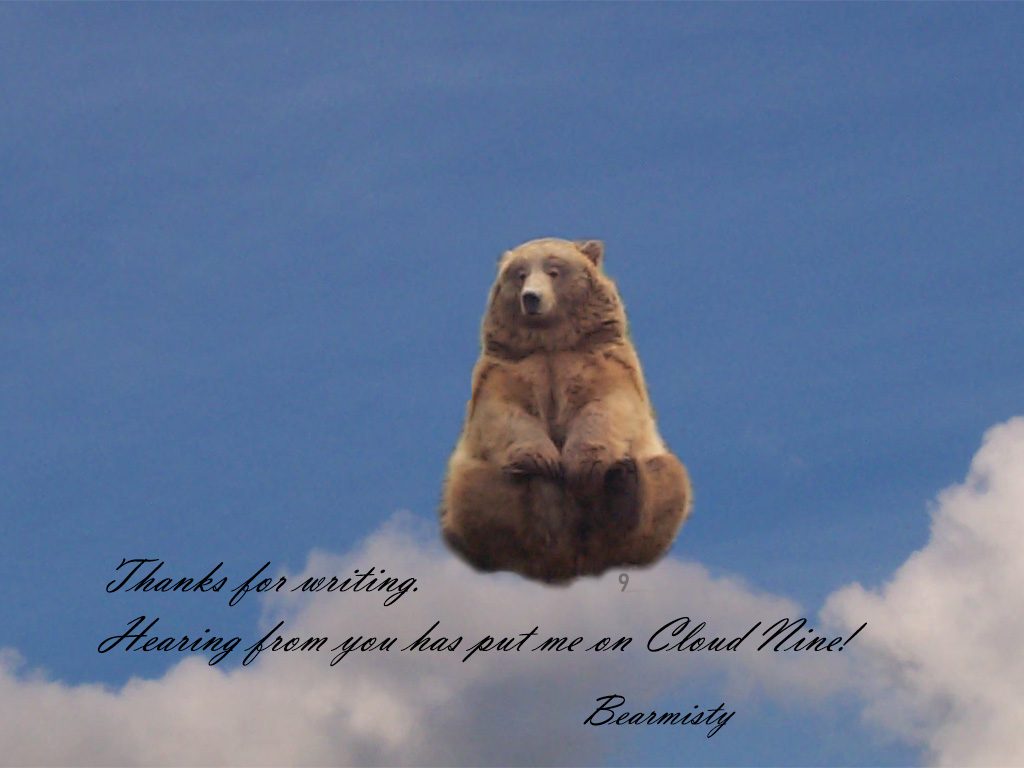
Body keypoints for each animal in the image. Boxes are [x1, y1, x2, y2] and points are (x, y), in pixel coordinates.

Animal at [440, 237, 692, 583]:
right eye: (520, 274)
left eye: (554, 270)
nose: (531, 297)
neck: (551, 342)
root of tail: (574, 562)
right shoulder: (507, 367)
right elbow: (503, 412)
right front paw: (542, 459)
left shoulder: (599, 359)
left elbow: (608, 406)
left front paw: (582, 462)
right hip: (479, 483)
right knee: (474, 492)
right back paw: (535, 484)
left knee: (668, 479)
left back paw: (624, 482)